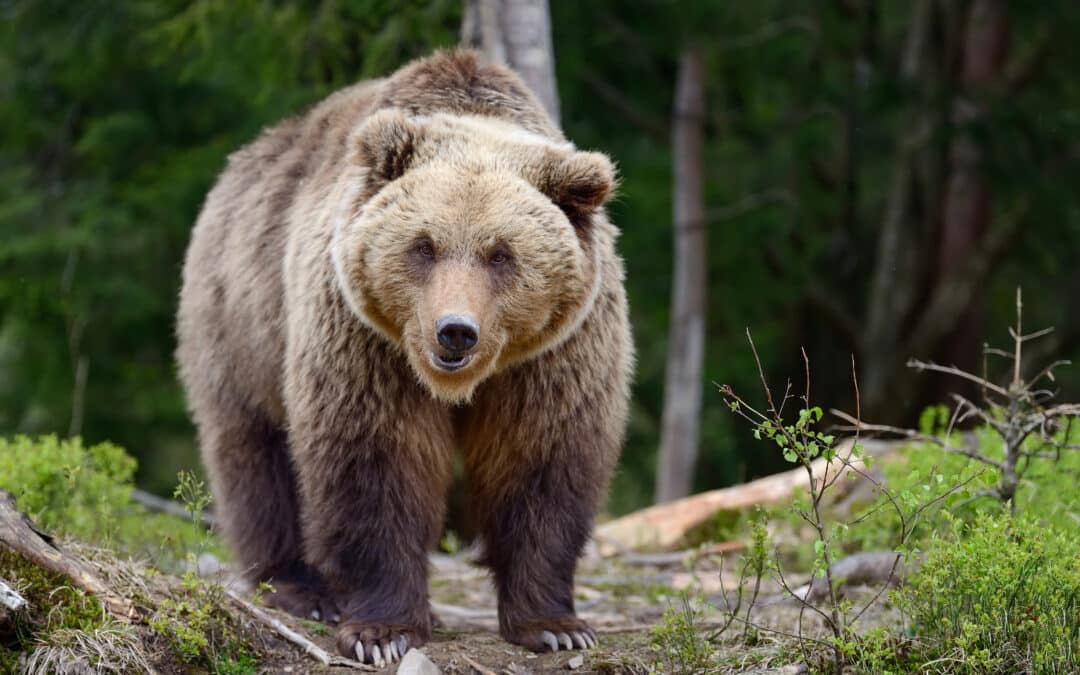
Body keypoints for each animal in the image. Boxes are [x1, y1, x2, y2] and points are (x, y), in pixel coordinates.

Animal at [176, 49, 630, 665]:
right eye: (424, 245)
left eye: (501, 254)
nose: (455, 332)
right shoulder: (365, 341)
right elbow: (374, 461)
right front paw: (381, 632)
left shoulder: (554, 356)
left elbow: (541, 463)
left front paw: (554, 624)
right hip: (240, 322)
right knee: (256, 454)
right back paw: (302, 587)